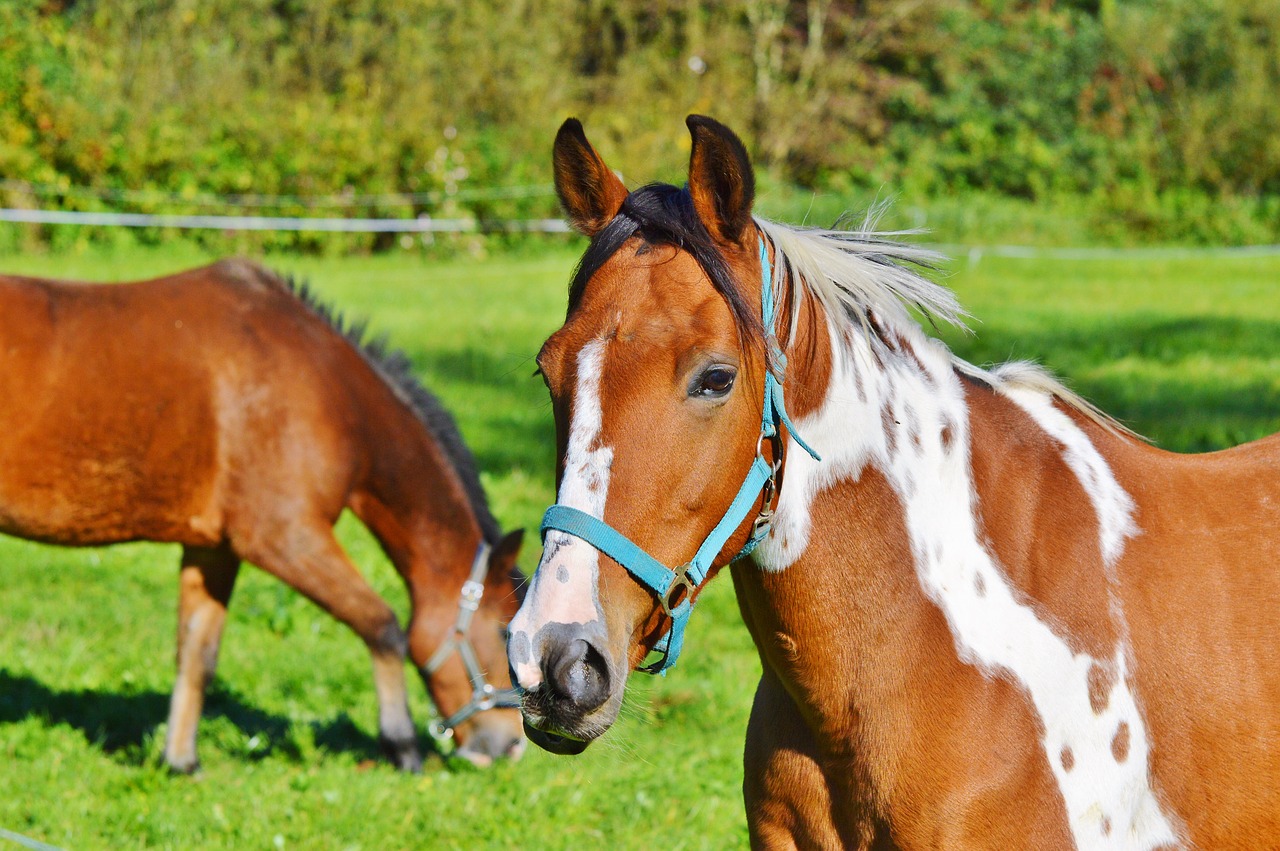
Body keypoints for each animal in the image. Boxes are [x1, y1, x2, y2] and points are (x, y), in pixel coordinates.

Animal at [0, 262, 524, 772]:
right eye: (504, 632)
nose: (511, 746)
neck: (325, 386)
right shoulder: (284, 539)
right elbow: (382, 626)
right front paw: (402, 746)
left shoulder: (214, 547)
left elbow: (197, 652)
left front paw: (180, 761)